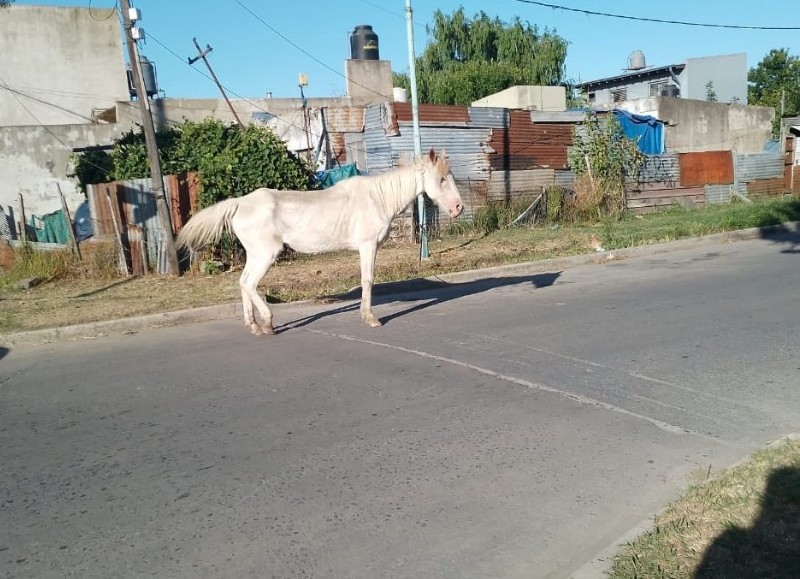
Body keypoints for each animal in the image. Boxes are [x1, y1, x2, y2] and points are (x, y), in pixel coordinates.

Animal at [175, 148, 462, 336]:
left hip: (255, 255)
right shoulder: (367, 246)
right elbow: (367, 280)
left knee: (243, 283)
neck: (377, 198)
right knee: (249, 284)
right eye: (441, 180)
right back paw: (267, 323)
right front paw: (370, 318)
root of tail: (238, 204)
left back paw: (254, 326)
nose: (458, 207)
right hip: (266, 254)